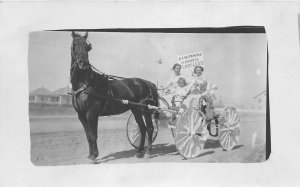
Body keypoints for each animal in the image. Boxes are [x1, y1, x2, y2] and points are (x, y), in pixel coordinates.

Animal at [69, 31, 158, 162]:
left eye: (87, 47)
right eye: (74, 45)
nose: (83, 63)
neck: (86, 84)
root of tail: (148, 83)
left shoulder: (92, 113)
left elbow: (93, 134)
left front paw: (95, 155)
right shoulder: (81, 115)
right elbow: (88, 135)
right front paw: (90, 155)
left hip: (145, 110)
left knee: (150, 128)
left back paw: (148, 152)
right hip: (136, 109)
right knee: (142, 128)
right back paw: (139, 151)